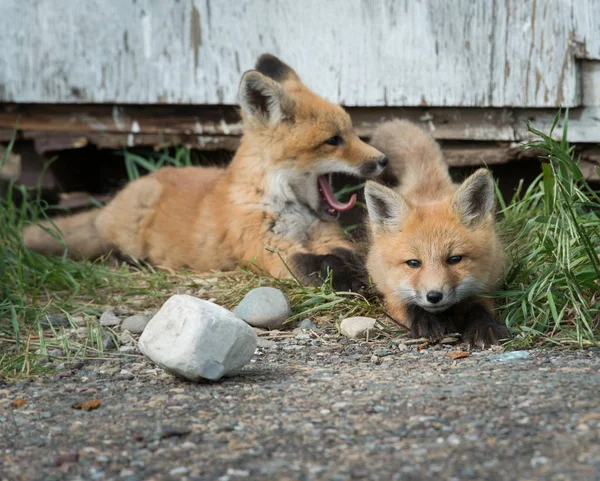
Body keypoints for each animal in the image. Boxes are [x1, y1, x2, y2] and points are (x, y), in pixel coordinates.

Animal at [23, 54, 386, 290]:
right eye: (333, 140)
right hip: (132, 227)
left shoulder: (326, 236)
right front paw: (346, 278)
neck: (291, 209)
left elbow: (348, 252)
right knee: (111, 246)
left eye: (352, 132)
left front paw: (356, 269)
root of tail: (112, 202)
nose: (382, 160)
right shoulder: (264, 251)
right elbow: (310, 266)